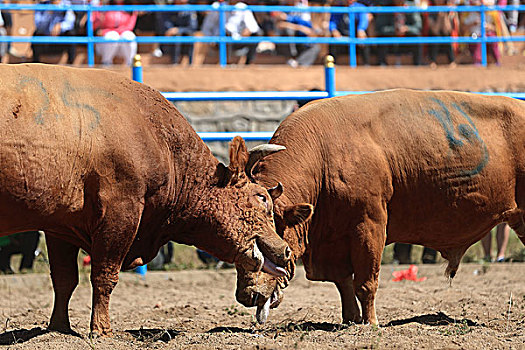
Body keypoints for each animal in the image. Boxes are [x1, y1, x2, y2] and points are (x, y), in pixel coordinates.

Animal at [0, 65, 292, 336]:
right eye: (262, 198)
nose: (286, 250)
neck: (158, 138)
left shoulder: (60, 225)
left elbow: (64, 279)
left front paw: (59, 328)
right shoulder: (121, 212)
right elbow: (104, 275)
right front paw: (101, 329)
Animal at [235, 89, 524, 326]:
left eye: (269, 242)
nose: (246, 295)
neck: (324, 155)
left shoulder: (369, 226)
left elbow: (365, 283)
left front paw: (370, 322)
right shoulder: (333, 240)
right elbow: (343, 282)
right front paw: (351, 319)